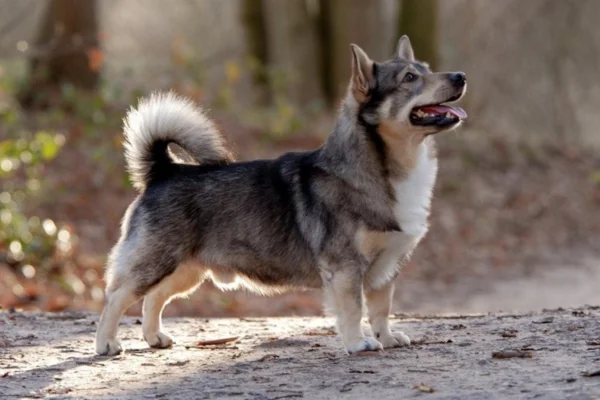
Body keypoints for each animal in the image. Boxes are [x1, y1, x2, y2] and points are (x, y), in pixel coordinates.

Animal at [96, 36, 466, 356]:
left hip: (186, 271)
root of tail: (165, 169)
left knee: (153, 299)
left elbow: (381, 309)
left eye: (426, 68)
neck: (382, 170)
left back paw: (154, 337)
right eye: (409, 78)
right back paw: (106, 343)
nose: (461, 76)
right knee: (116, 296)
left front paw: (386, 338)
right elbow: (353, 309)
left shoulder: (385, 269)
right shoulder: (345, 267)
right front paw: (358, 342)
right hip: (155, 262)